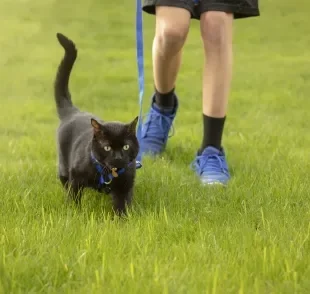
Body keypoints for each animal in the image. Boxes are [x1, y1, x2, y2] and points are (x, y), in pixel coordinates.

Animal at [54, 33, 140, 215]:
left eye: (126, 147)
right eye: (107, 147)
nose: (118, 157)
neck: (109, 175)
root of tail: (74, 111)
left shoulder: (125, 186)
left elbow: (122, 207)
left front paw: (121, 220)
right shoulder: (76, 179)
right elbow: (74, 200)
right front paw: (75, 214)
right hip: (64, 169)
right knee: (65, 182)